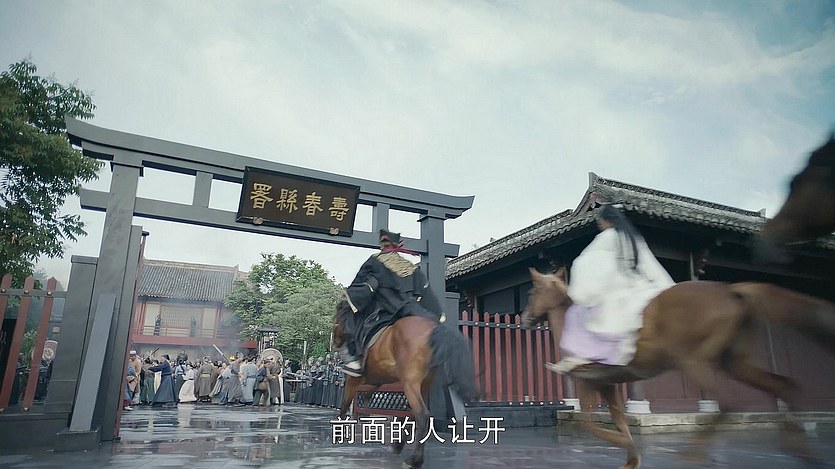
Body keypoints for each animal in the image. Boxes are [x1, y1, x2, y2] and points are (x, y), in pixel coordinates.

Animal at [332, 300, 478, 469]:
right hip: (424, 383)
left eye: (335, 320)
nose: (335, 344)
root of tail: (433, 330)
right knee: (414, 413)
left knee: (422, 414)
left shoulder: (353, 380)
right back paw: (399, 446)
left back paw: (414, 459)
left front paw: (338, 434)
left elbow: (344, 406)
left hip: (410, 382)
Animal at [521, 267, 835, 469]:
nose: (525, 318)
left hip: (693, 361)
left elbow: (590, 424)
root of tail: (732, 290)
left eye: (532, 290)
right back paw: (801, 450)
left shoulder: (588, 381)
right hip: (736, 362)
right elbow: (620, 420)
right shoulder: (607, 383)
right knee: (782, 384)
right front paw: (631, 458)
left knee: (729, 402)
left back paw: (691, 456)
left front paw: (629, 451)